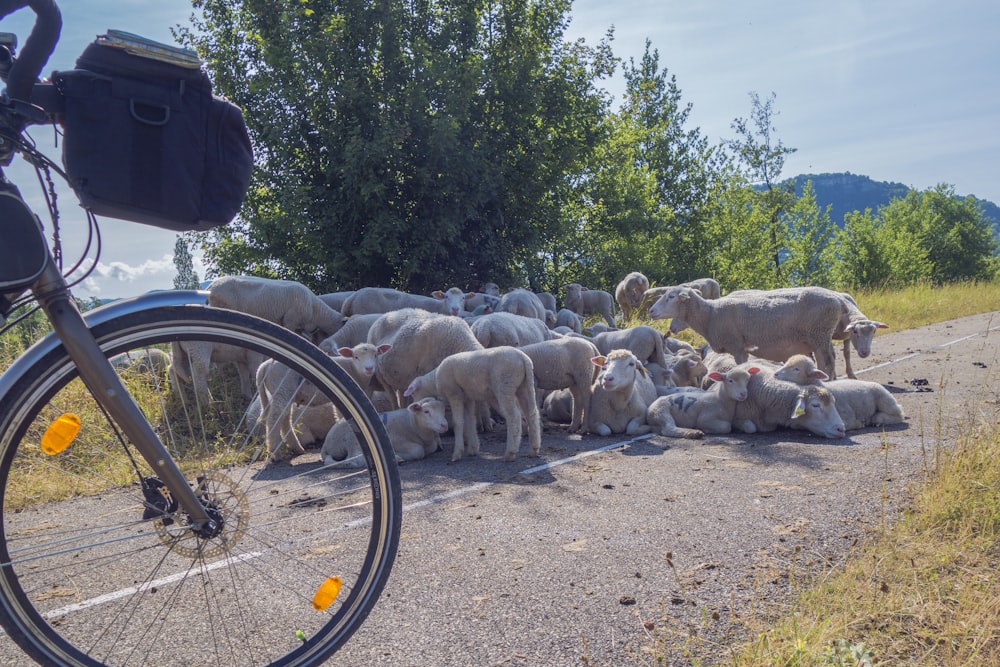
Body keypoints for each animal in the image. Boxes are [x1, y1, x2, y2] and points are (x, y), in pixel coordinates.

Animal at [320, 396, 450, 470]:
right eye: (426, 411)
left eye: (443, 410)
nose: (445, 425)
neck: (412, 423)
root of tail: (326, 443)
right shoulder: (397, 441)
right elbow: (418, 451)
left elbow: (434, 446)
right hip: (352, 439)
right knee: (352, 458)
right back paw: (397, 459)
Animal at [400, 348, 540, 462]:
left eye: (414, 392)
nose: (414, 405)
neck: (434, 381)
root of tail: (523, 358)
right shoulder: (468, 399)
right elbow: (470, 421)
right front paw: (473, 448)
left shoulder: (454, 395)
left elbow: (458, 422)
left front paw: (457, 453)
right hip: (523, 387)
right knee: (532, 414)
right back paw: (534, 449)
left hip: (505, 387)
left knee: (514, 416)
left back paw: (510, 453)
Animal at [648, 286, 844, 380]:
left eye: (671, 297)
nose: (651, 311)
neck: (710, 314)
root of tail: (838, 299)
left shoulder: (737, 346)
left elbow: (741, 365)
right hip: (821, 338)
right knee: (829, 361)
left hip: (819, 334)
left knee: (826, 364)